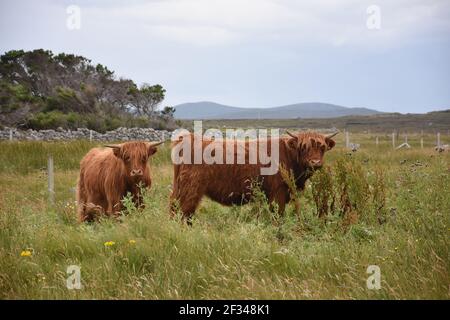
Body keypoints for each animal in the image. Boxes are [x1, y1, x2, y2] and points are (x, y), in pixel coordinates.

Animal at [171, 130, 336, 222]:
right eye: (303, 148)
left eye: (322, 147)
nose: (315, 162)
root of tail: (187, 138)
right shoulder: (278, 192)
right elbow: (279, 215)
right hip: (191, 188)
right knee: (185, 212)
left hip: (179, 186)